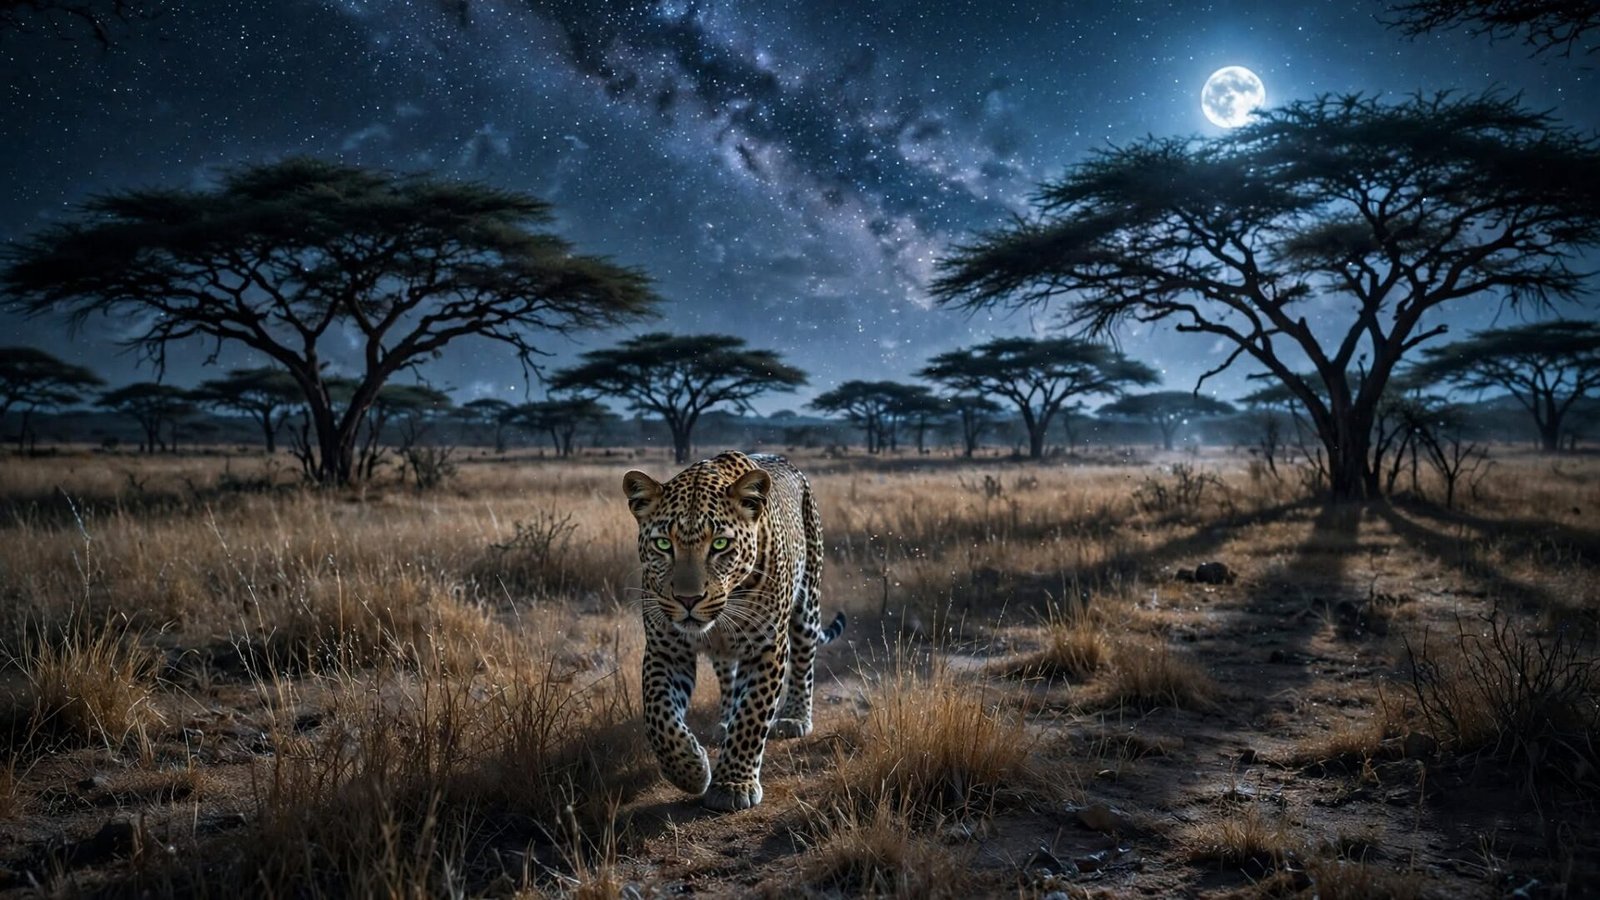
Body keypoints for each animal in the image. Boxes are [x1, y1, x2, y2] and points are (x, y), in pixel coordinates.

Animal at [623, 450, 845, 811]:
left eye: (720, 544)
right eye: (663, 544)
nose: (688, 599)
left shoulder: (768, 646)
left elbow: (752, 714)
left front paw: (732, 784)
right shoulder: (665, 649)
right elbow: (658, 714)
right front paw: (689, 769)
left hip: (807, 603)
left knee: (804, 661)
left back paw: (795, 717)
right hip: (724, 650)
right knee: (728, 677)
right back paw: (725, 721)